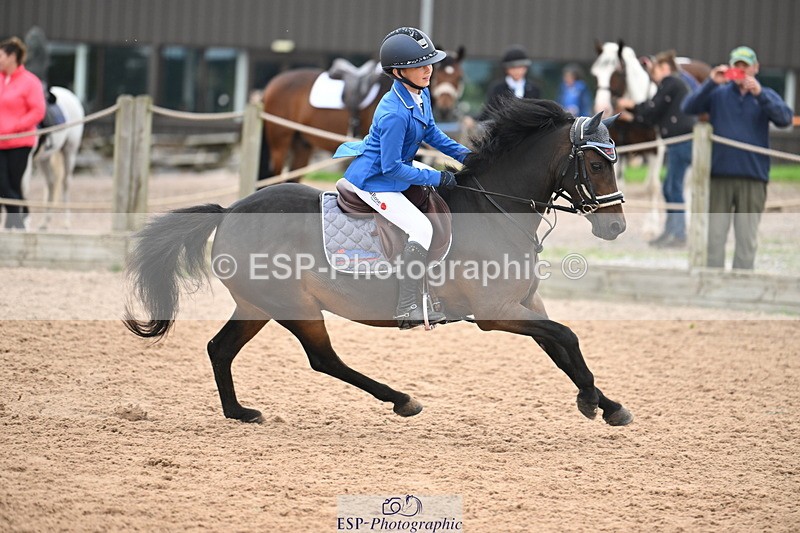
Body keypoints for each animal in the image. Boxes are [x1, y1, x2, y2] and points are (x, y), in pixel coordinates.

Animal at [21, 86, 85, 229]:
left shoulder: (26, 160)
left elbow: (22, 189)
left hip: (69, 151)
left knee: (65, 182)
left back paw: (67, 222)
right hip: (43, 158)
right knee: (51, 183)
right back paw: (45, 222)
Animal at [124, 97, 633, 428]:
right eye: (596, 165)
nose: (616, 228)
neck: (495, 210)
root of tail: (230, 210)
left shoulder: (527, 306)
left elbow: (561, 346)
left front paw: (606, 404)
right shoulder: (496, 313)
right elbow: (566, 337)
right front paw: (592, 400)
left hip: (257, 305)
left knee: (221, 348)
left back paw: (239, 413)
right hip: (292, 305)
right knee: (323, 359)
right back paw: (402, 399)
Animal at [260, 51, 467, 180]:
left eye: (459, 77)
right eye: (438, 76)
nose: (446, 110)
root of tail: (272, 84)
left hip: (302, 143)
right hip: (280, 143)